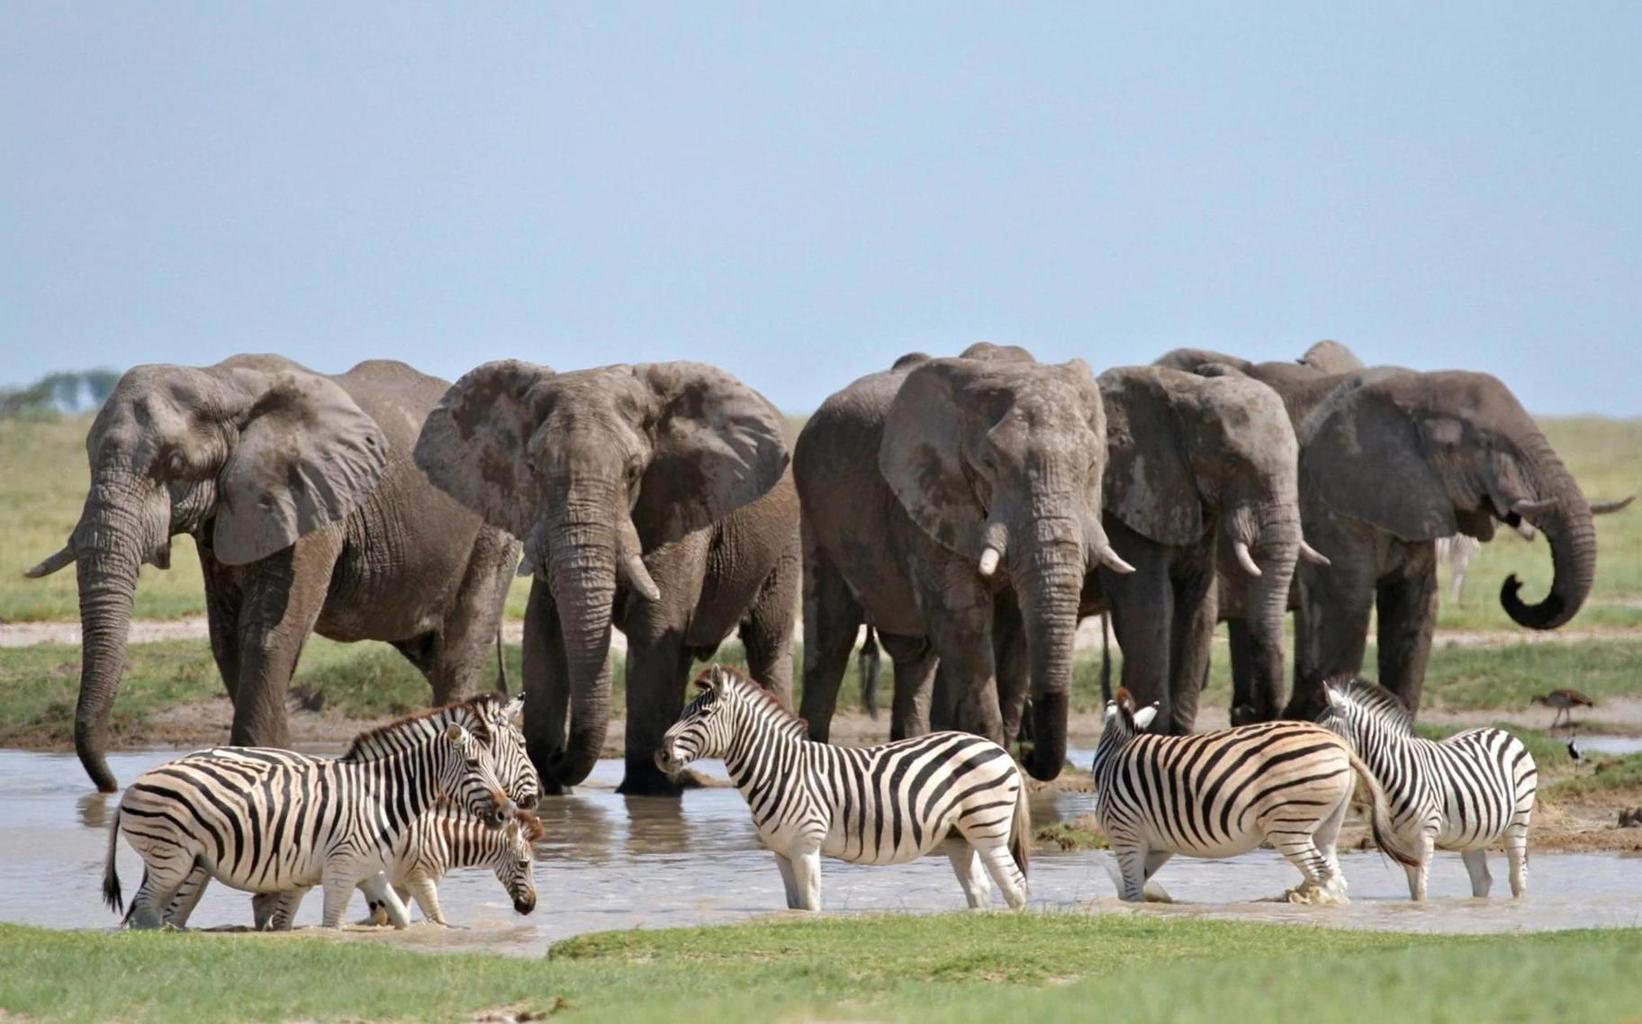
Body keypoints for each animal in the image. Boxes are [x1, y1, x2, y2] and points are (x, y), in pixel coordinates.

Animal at [26, 356, 521, 793]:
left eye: (175, 465)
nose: (111, 786)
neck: (220, 381)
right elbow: (226, 637)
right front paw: (278, 766)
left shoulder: (310, 502)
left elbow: (266, 631)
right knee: (430, 651)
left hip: (493, 523)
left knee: (459, 648)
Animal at [412, 360, 799, 796]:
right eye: (533, 470)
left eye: (633, 472)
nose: (555, 754)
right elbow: (544, 629)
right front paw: (553, 789)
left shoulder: (678, 501)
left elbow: (655, 624)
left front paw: (647, 791)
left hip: (786, 545)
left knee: (768, 643)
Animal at [794, 345, 1132, 781]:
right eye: (990, 464)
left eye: (1091, 465)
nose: (1030, 754)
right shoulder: (930, 496)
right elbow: (963, 619)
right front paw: (992, 759)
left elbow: (1016, 628)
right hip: (816, 509)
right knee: (831, 637)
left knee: (916, 657)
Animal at [1076, 365, 1327, 734]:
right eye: (1231, 462)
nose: (1246, 712)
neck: (1187, 390)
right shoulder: (1125, 506)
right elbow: (1150, 609)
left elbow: (1198, 606)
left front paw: (1178, 734)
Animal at [1157, 345, 1603, 719]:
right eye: (1486, 442)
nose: (1516, 584)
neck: (1418, 388)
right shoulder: (1330, 501)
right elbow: (1347, 606)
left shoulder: (1414, 500)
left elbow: (1415, 607)